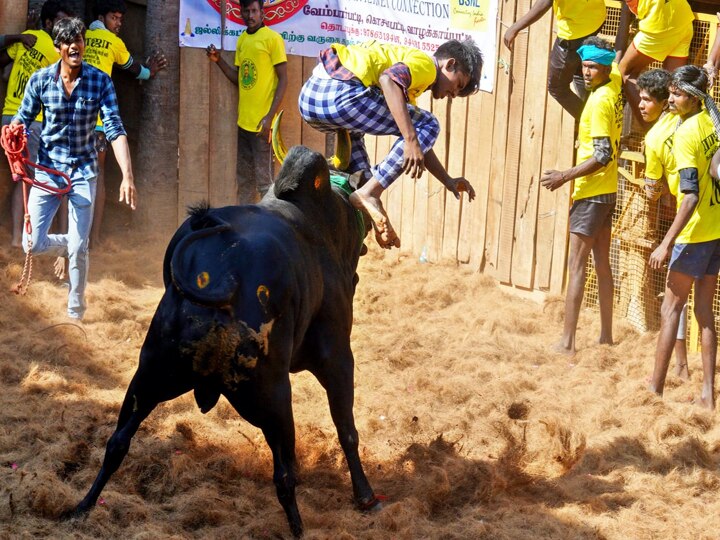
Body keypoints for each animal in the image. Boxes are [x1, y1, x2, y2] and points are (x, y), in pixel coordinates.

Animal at [70, 147, 380, 536]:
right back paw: (298, 528)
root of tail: (223, 272)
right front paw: (365, 495)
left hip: (148, 378)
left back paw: (81, 506)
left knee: (117, 443)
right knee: (284, 475)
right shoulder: (337, 356)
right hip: (275, 398)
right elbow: (346, 429)